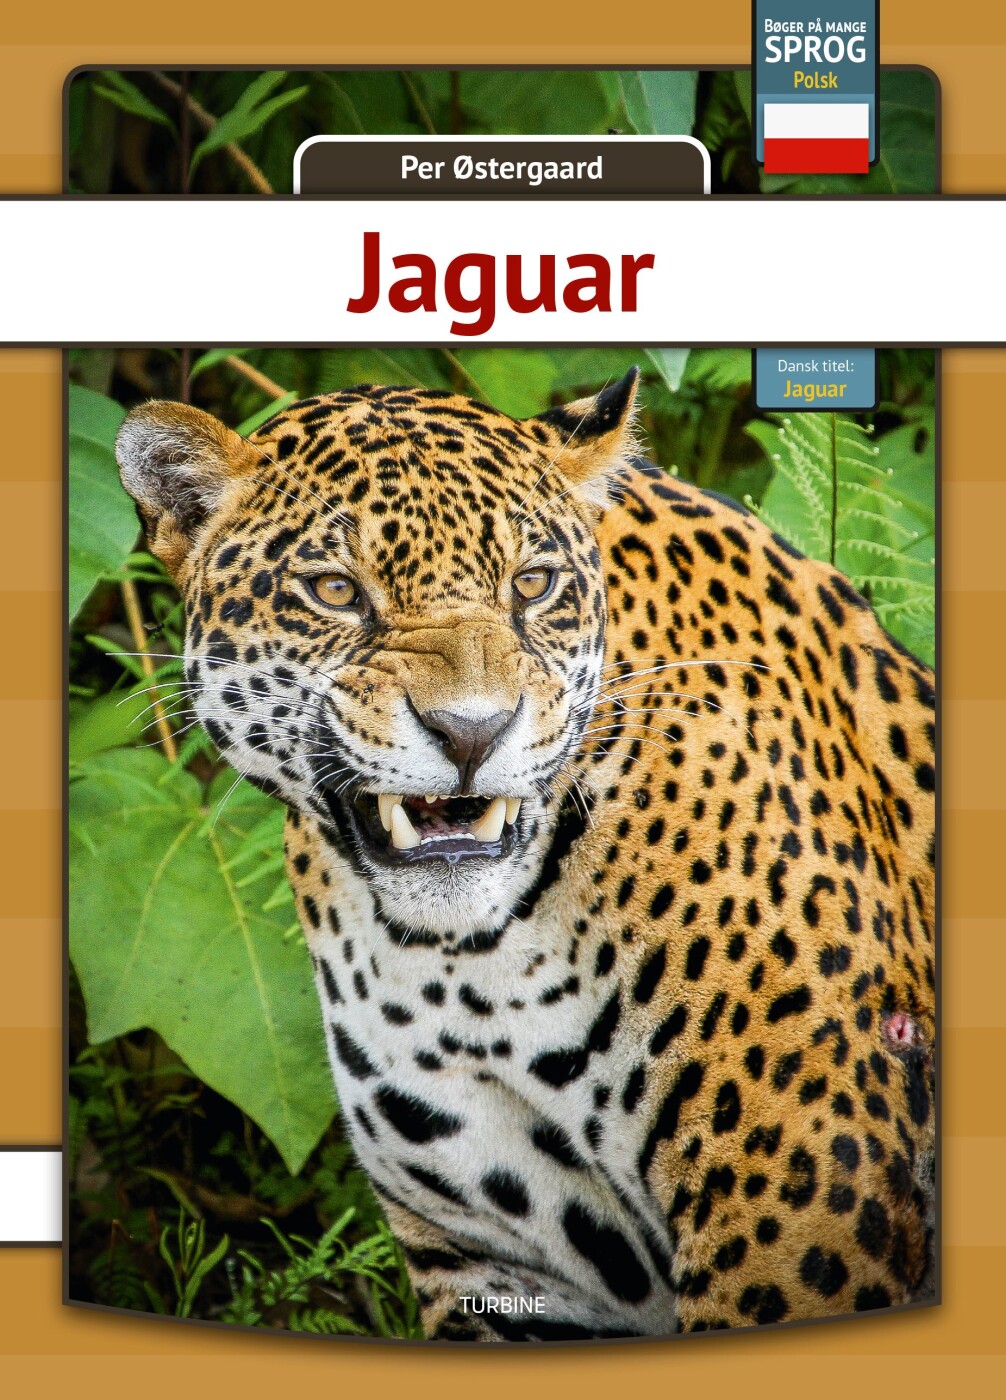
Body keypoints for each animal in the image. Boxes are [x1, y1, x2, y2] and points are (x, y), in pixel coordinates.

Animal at [115, 369, 936, 1343]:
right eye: (335, 590)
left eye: (533, 585)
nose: (472, 731)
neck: (473, 969)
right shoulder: (498, 1259)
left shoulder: (802, 1205)